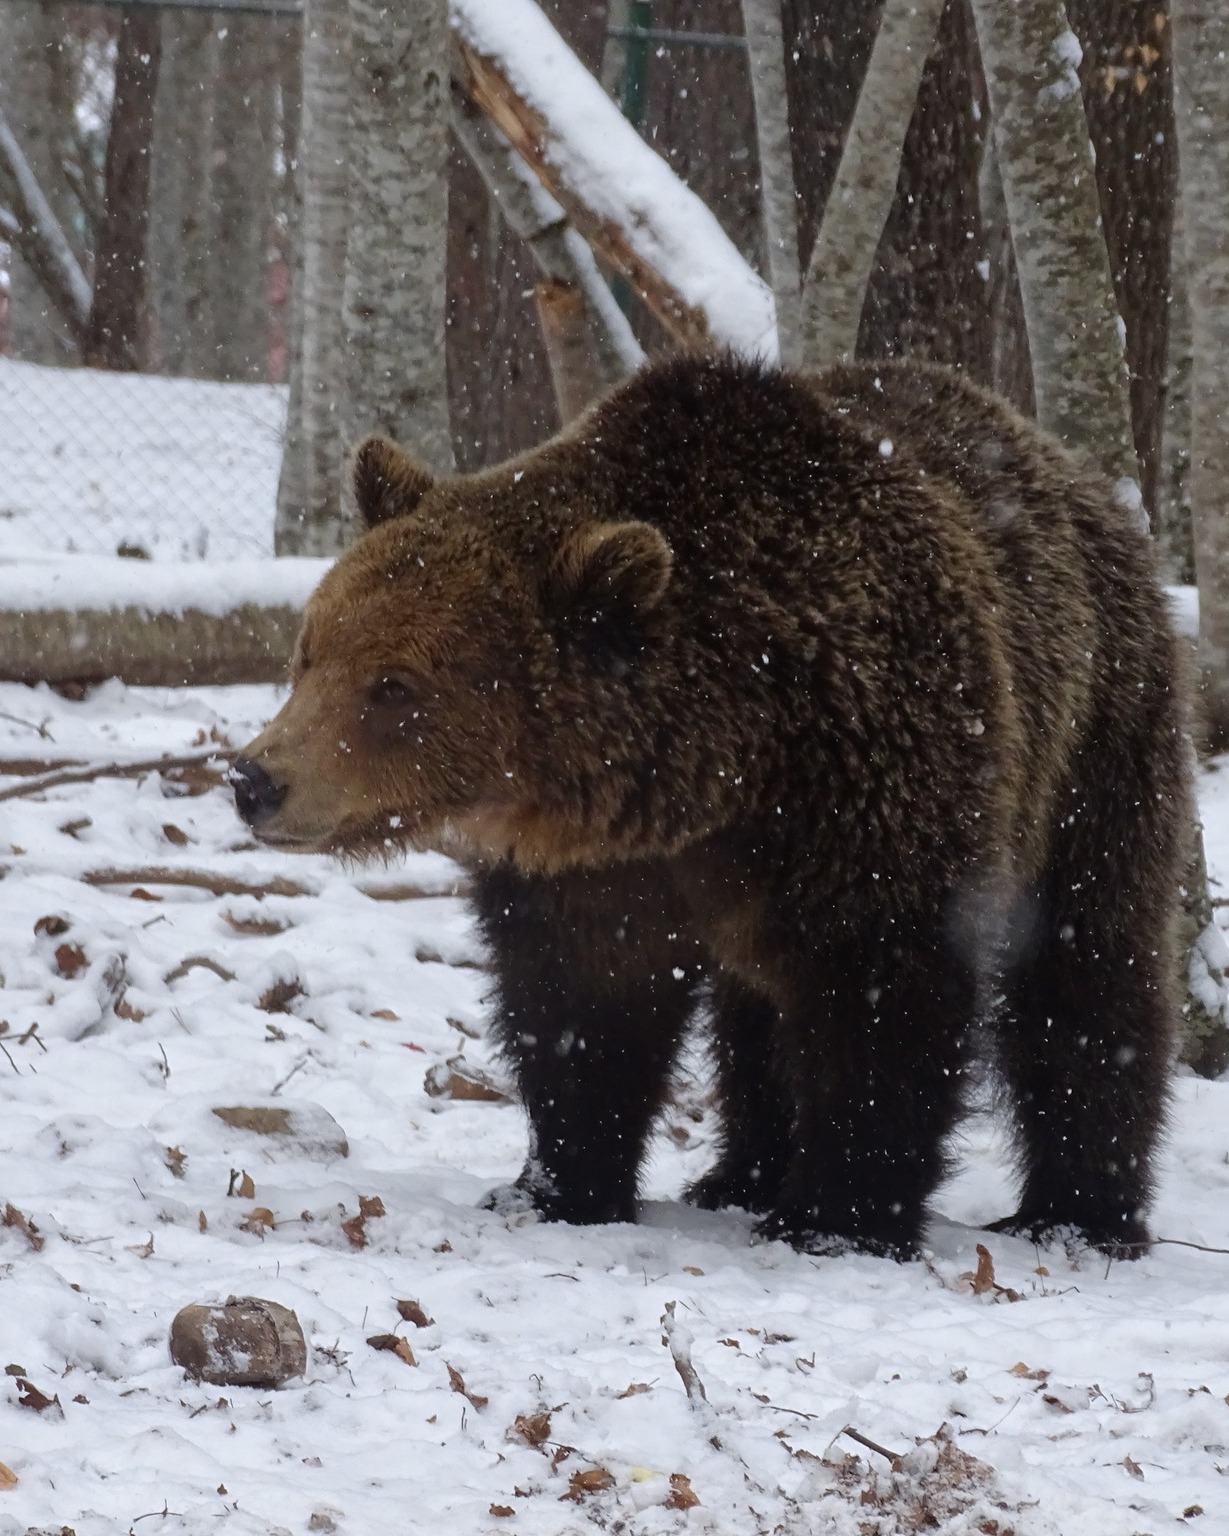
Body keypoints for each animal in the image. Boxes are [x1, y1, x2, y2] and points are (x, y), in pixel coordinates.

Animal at [230, 351, 1192, 1259]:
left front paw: (837, 1217)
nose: (255, 779)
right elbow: (582, 1007)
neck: (720, 764)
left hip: (1094, 742)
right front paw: (559, 1185)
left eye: (395, 685)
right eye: (310, 650)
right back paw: (740, 1174)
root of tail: (1078, 477)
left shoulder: (875, 785)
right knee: (753, 1011)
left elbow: (881, 996)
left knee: (1087, 969)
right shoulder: (601, 869)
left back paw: (1076, 1211)